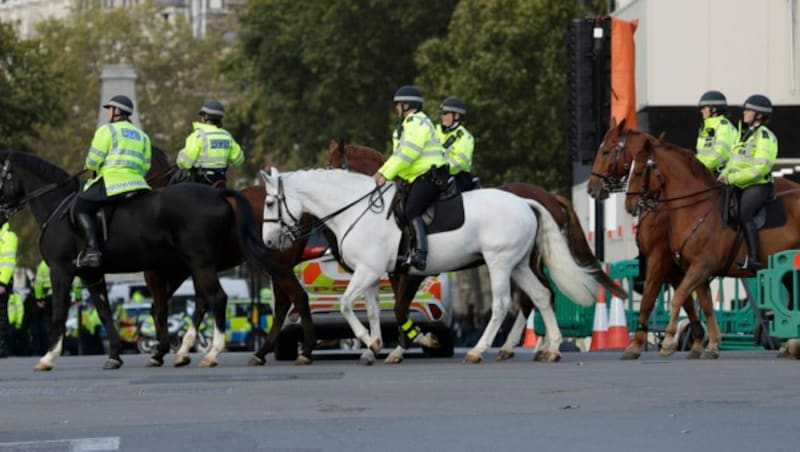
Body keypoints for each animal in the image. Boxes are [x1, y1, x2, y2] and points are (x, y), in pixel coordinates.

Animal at [0, 152, 288, 370]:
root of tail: (218, 194)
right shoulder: (93, 274)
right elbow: (105, 311)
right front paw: (116, 354)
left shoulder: (61, 271)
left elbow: (60, 312)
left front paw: (48, 356)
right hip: (200, 266)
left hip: (201, 263)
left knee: (218, 298)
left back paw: (213, 352)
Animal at [260, 170, 596, 364]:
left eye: (269, 203)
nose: (269, 241)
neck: (357, 210)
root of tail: (526, 201)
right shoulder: (372, 275)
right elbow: (375, 311)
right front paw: (377, 345)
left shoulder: (371, 271)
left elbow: (346, 305)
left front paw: (374, 341)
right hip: (518, 265)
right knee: (540, 296)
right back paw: (552, 348)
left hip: (499, 262)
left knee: (502, 304)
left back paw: (478, 350)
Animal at [584, 118, 708, 358]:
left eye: (605, 151)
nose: (592, 188)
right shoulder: (674, 265)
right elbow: (687, 299)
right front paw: (697, 338)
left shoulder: (660, 258)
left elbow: (650, 298)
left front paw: (638, 343)